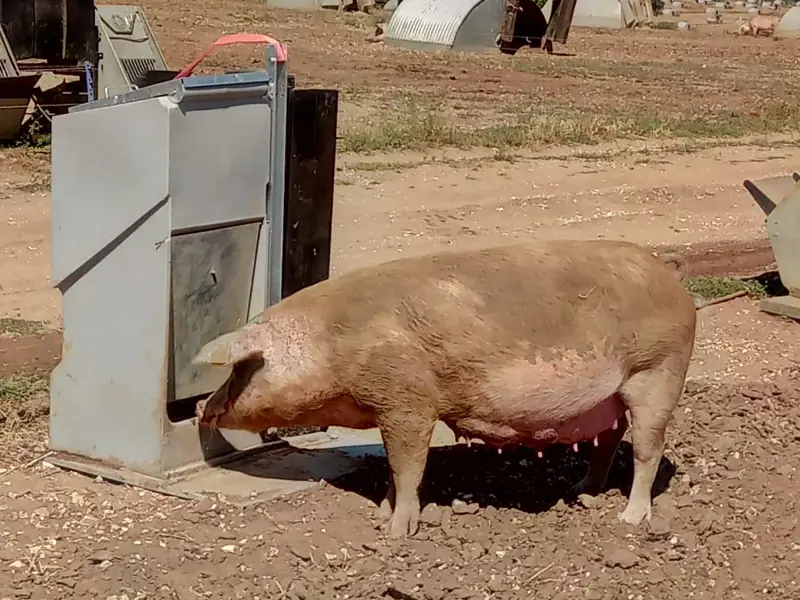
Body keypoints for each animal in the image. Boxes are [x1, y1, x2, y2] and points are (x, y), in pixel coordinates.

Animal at [193, 239, 697, 538]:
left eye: (238, 371)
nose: (201, 407)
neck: (333, 343)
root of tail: (669, 273)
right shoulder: (391, 408)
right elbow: (393, 467)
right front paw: (380, 515)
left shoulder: (408, 401)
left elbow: (408, 466)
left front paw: (395, 533)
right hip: (610, 397)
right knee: (609, 440)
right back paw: (582, 491)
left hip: (658, 371)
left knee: (649, 449)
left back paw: (629, 519)